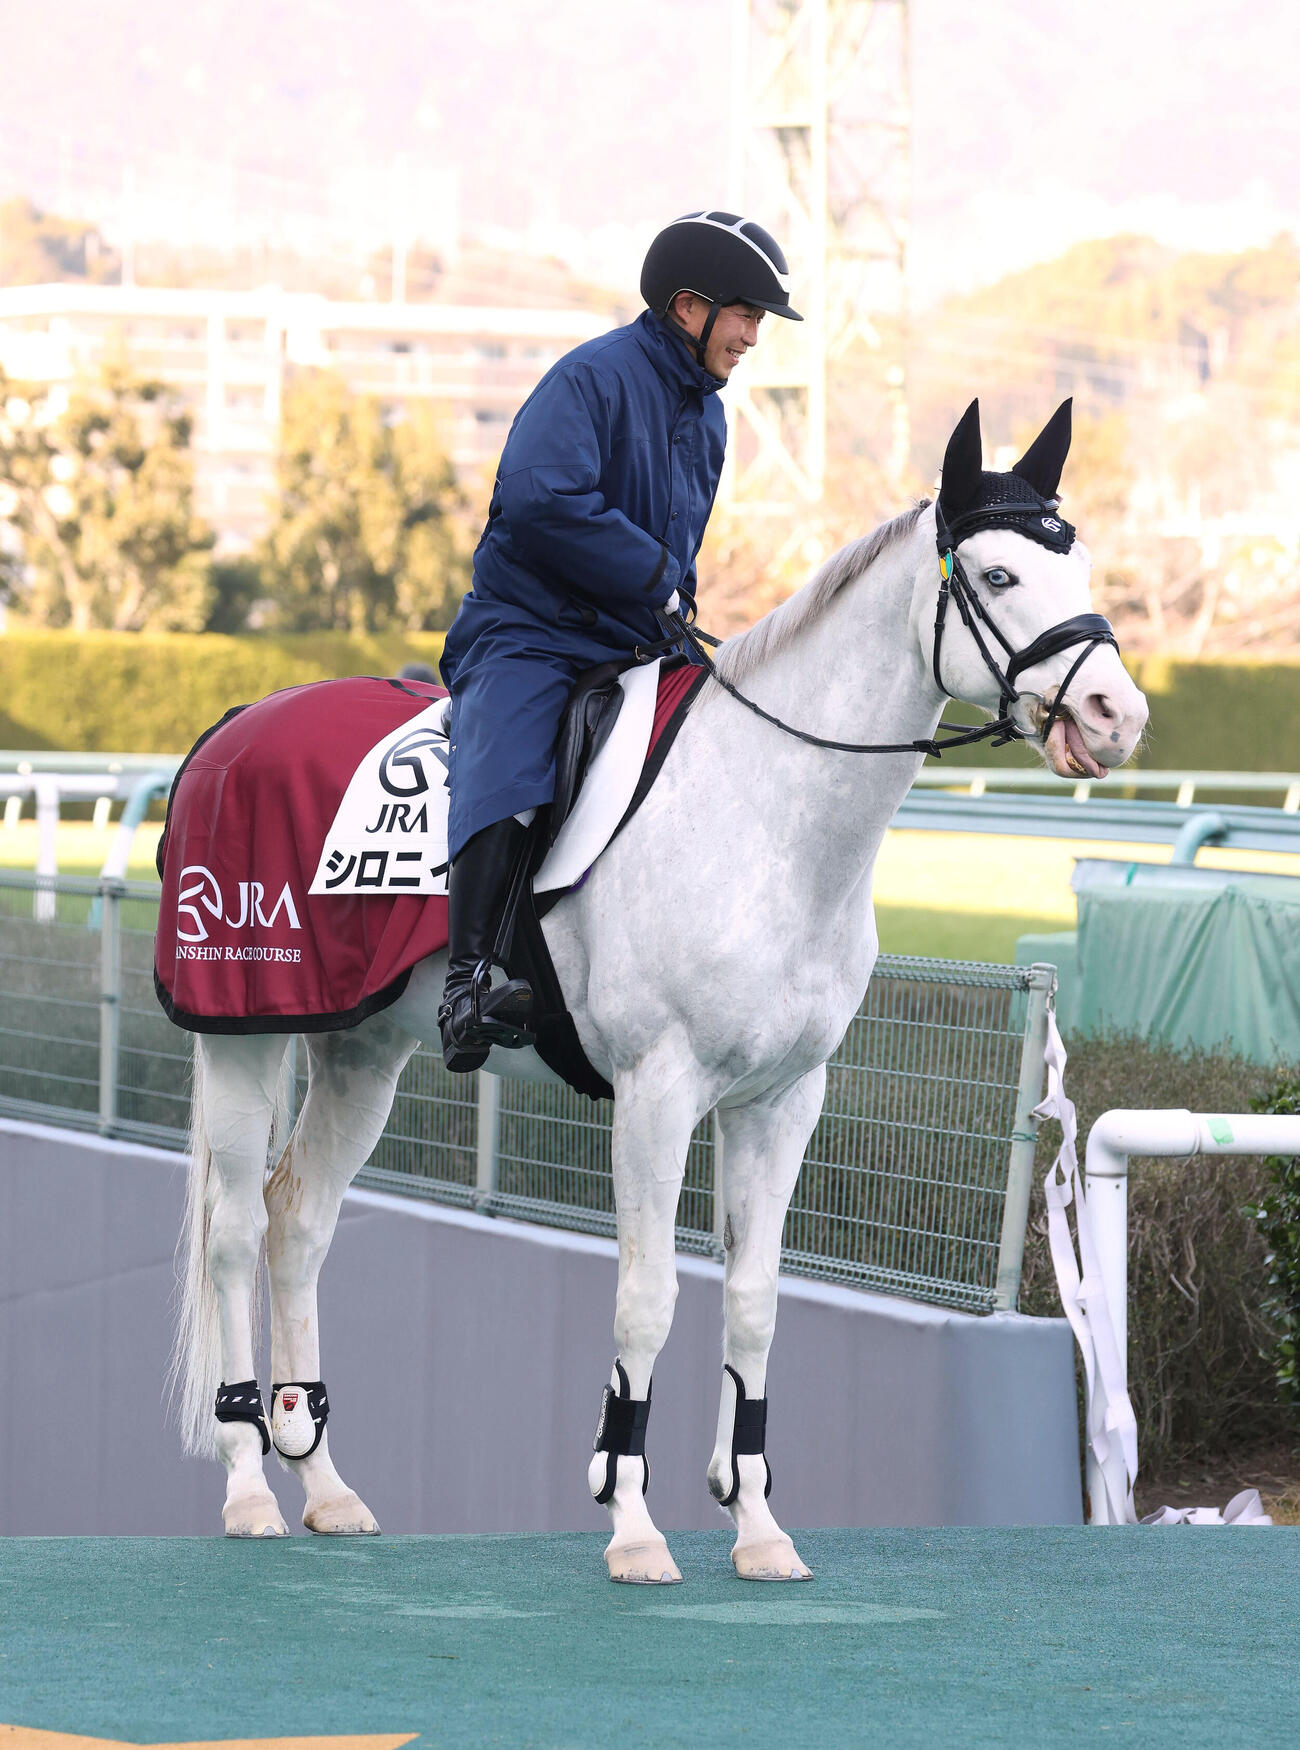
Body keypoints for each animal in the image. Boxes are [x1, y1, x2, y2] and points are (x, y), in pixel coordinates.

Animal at [170, 400, 1148, 1580]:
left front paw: (758, 1525)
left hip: (362, 1050)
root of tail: (232, 725)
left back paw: (323, 1483)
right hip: (245, 1031)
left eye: (1078, 560)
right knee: (232, 1230)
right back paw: (246, 1487)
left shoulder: (781, 1101)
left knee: (300, 1220)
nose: (1116, 713)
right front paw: (632, 1523)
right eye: (999, 575)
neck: (767, 812)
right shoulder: (656, 1092)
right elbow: (647, 1297)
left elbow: (756, 1303)